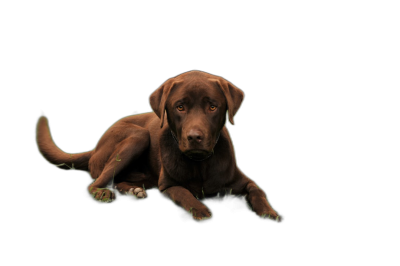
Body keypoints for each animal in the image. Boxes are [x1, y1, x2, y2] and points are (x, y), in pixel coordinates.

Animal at [36, 70, 282, 222]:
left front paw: (269, 213)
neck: (199, 164)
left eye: (212, 107)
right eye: (180, 107)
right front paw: (200, 209)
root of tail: (95, 147)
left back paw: (134, 191)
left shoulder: (244, 182)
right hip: (138, 136)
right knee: (96, 182)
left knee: (118, 180)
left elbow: (258, 191)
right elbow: (184, 193)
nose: (194, 137)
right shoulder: (168, 185)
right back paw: (104, 194)